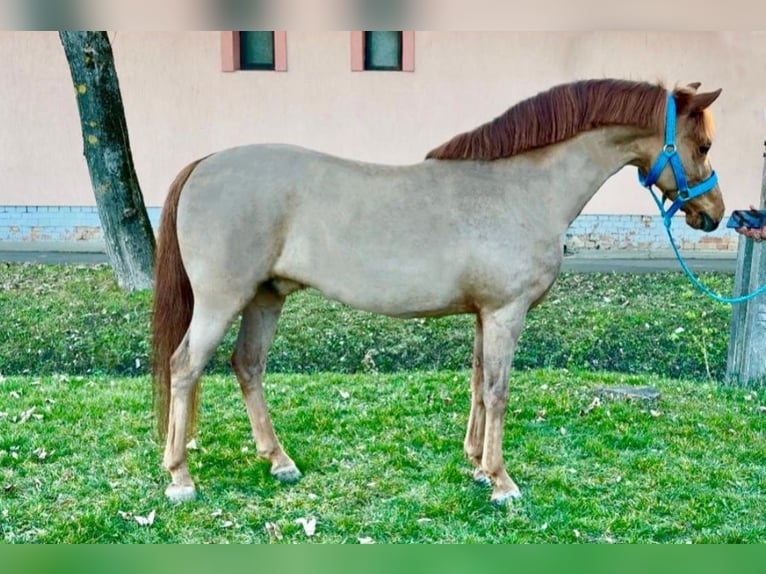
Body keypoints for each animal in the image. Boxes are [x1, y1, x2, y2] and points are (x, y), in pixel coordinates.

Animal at [151, 78, 725, 505]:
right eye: (703, 145)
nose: (714, 213)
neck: (524, 188)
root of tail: (205, 162)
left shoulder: (485, 314)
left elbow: (477, 385)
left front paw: (477, 465)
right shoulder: (506, 313)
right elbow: (498, 391)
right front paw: (501, 482)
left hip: (266, 298)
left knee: (247, 366)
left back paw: (279, 461)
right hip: (222, 301)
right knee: (185, 367)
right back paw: (180, 478)